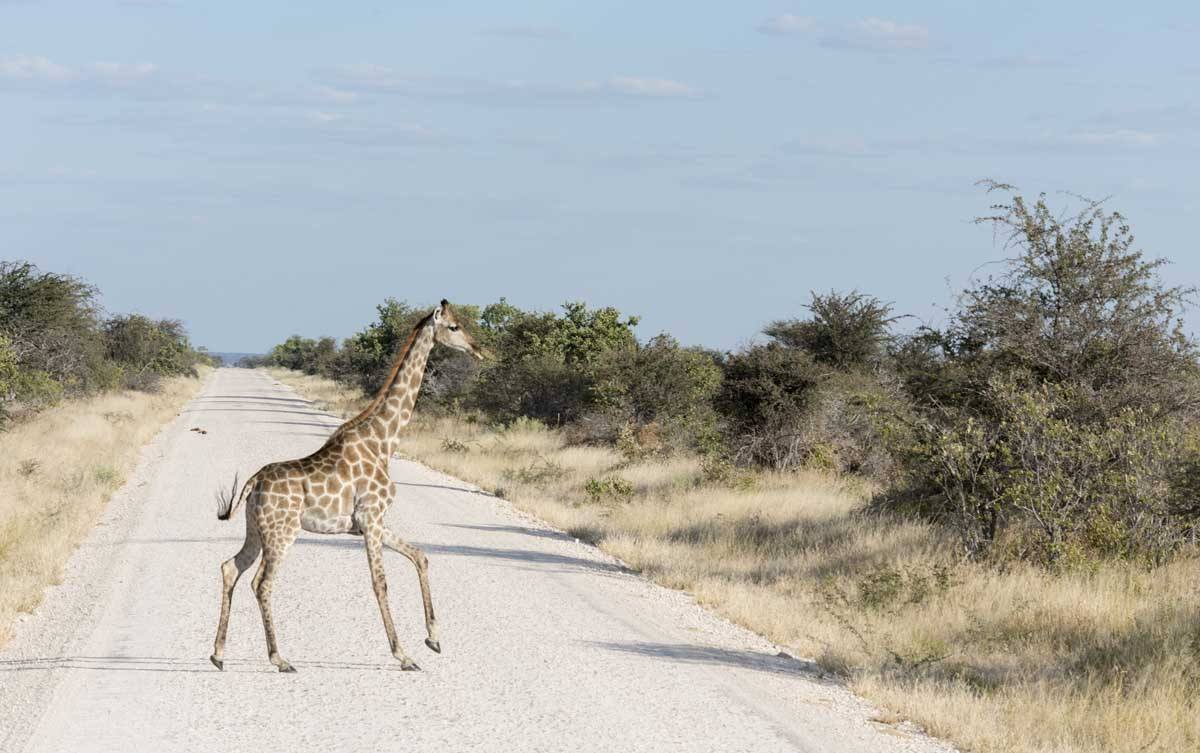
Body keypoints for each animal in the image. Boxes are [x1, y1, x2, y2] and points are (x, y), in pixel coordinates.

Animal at [210, 297, 487, 671]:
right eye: (454, 327)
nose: (478, 350)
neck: (384, 441)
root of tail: (254, 483)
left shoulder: (373, 522)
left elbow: (421, 556)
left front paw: (434, 638)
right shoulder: (371, 519)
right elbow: (380, 583)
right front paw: (403, 655)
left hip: (255, 529)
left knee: (230, 568)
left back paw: (218, 654)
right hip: (282, 533)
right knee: (262, 583)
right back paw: (279, 658)